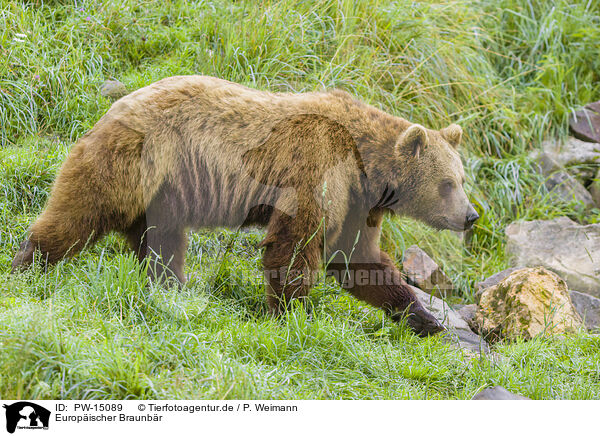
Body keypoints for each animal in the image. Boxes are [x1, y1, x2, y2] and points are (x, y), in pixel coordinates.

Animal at [11, 75, 478, 336]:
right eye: (446, 184)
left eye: (461, 180)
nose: (471, 215)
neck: (366, 167)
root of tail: (113, 107)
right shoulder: (316, 166)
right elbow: (295, 244)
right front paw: (291, 314)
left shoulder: (355, 201)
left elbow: (355, 258)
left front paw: (424, 318)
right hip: (136, 161)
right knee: (82, 210)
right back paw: (28, 264)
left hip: (164, 193)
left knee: (161, 244)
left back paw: (170, 287)